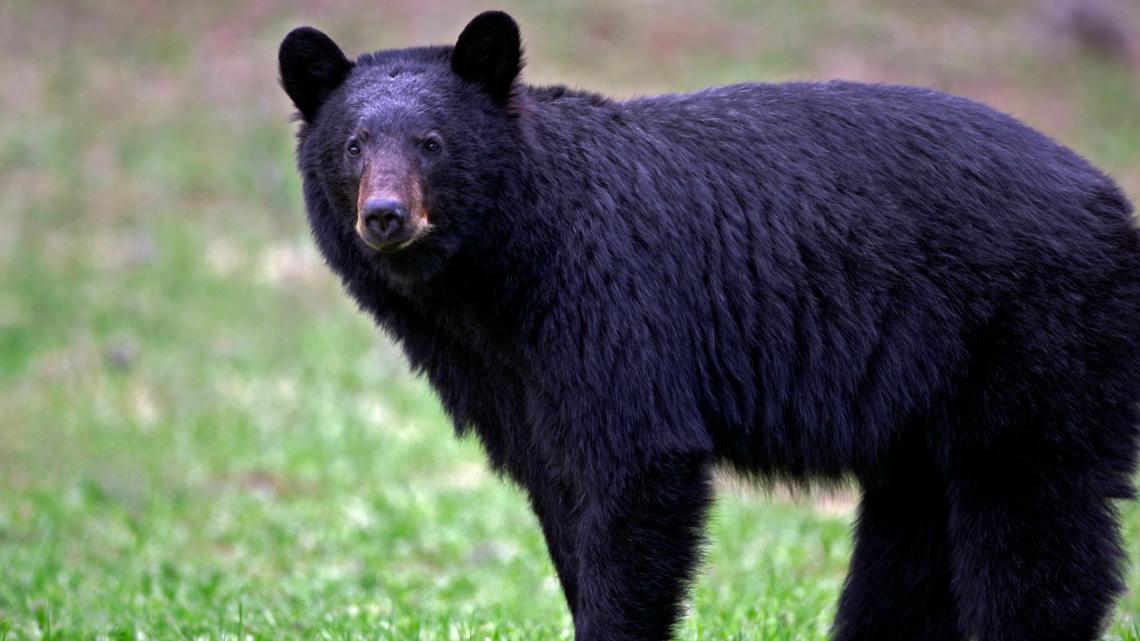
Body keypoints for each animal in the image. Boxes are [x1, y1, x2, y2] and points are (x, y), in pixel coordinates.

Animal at [278, 11, 1140, 641]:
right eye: (353, 145)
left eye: (432, 143)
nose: (385, 216)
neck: (497, 274)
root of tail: (1114, 204)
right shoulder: (506, 378)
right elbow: (558, 488)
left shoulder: (613, 299)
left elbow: (638, 463)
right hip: (929, 397)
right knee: (913, 533)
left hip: (1031, 339)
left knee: (1031, 517)